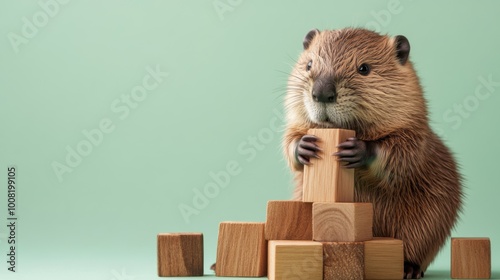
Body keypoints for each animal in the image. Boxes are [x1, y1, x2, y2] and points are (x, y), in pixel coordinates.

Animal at [284, 27, 462, 278]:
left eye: (364, 68)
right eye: (309, 64)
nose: (322, 93)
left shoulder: (415, 131)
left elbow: (403, 153)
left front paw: (356, 149)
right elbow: (290, 138)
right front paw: (305, 145)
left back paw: (408, 268)